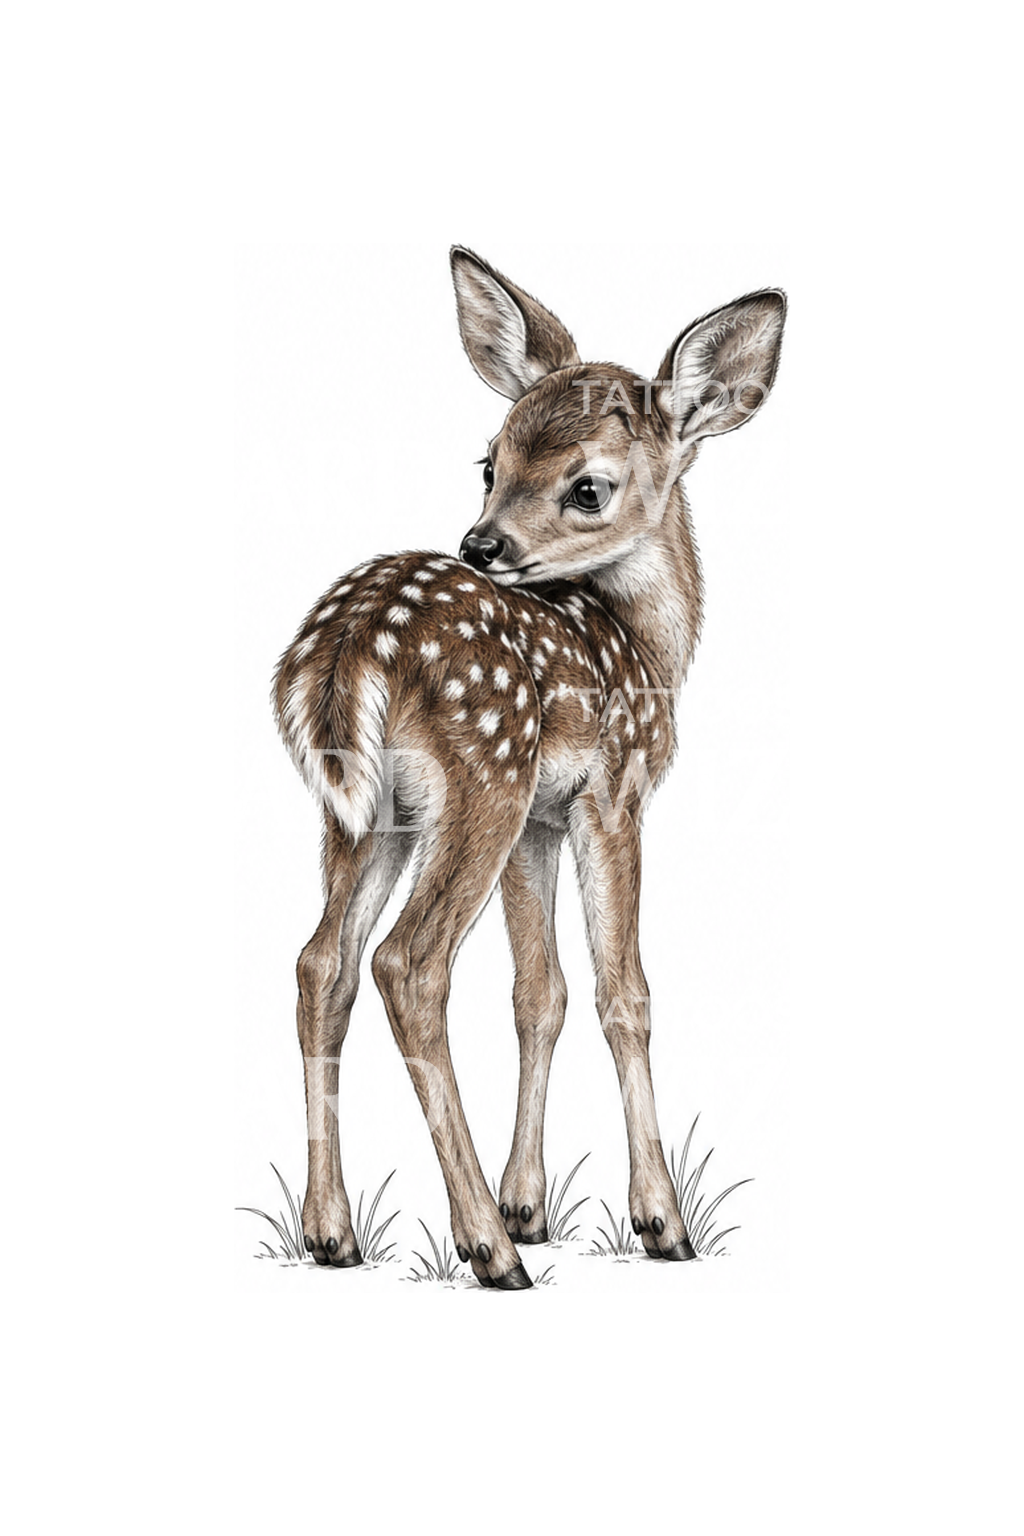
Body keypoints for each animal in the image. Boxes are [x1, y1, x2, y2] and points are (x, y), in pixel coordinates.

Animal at [273, 248, 785, 1289]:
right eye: (491, 463)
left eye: (587, 487)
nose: (483, 544)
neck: (645, 644)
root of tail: (344, 648)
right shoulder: (612, 794)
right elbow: (622, 993)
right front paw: (657, 1221)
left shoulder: (542, 820)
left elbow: (538, 994)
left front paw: (533, 1203)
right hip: (480, 781)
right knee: (407, 963)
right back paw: (487, 1249)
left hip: (366, 812)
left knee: (322, 962)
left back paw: (335, 1233)